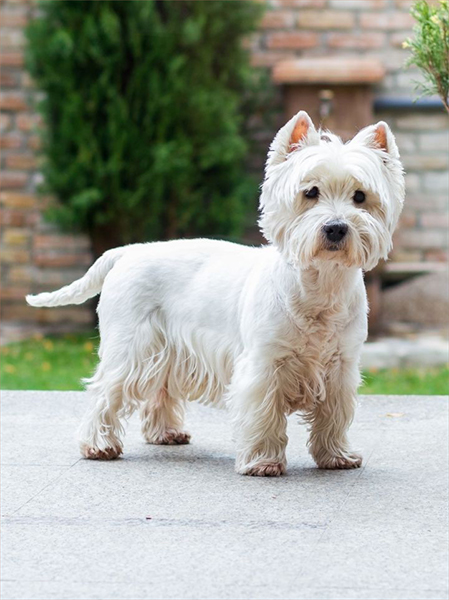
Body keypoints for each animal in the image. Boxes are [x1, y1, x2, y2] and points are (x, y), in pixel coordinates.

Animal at [26, 111, 404, 478]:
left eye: (360, 196)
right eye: (310, 192)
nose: (336, 228)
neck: (320, 287)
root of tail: (128, 251)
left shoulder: (341, 365)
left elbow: (334, 415)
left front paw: (336, 455)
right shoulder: (263, 364)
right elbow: (264, 412)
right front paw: (262, 462)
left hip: (166, 349)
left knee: (159, 389)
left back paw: (166, 433)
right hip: (131, 344)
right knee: (106, 390)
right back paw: (99, 445)